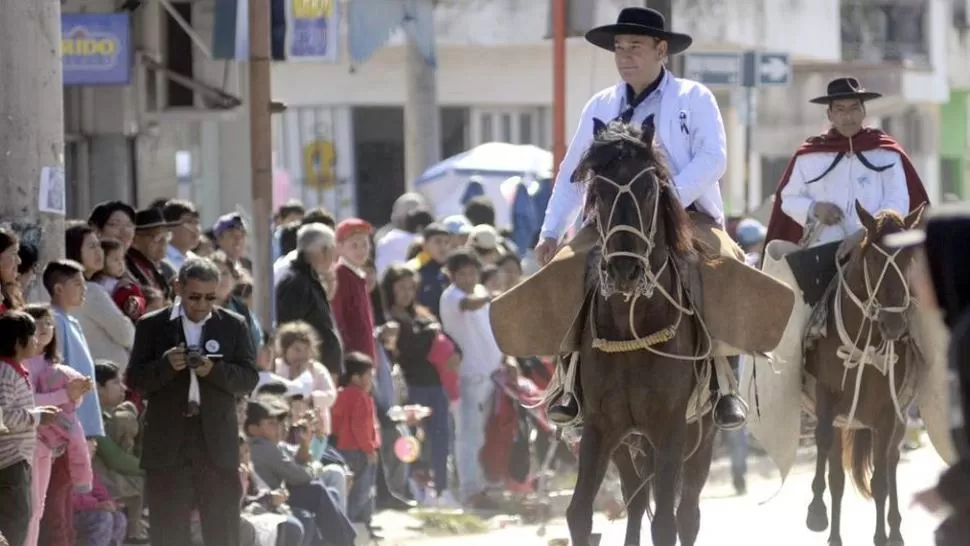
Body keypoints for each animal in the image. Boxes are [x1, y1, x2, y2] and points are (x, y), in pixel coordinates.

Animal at [564, 119, 716, 544]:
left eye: (649, 189)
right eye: (599, 190)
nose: (624, 270)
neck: (631, 326)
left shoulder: (671, 426)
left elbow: (665, 522)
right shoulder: (601, 426)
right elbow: (579, 513)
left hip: (701, 436)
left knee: (688, 514)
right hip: (630, 442)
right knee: (635, 497)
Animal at [796, 201, 928, 544]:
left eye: (909, 259)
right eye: (874, 259)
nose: (895, 326)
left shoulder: (887, 414)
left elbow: (881, 481)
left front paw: (882, 535)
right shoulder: (826, 398)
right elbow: (826, 450)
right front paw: (816, 511)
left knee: (891, 460)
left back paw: (895, 530)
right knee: (838, 474)